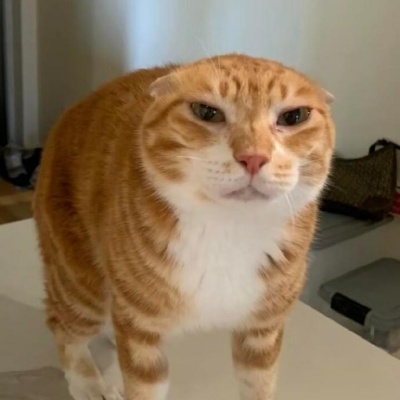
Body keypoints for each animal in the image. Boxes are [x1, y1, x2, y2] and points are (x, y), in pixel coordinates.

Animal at [33, 54, 335, 400]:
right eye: (207, 112)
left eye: (294, 116)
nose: (254, 157)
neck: (228, 231)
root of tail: (74, 108)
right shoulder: (141, 334)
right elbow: (144, 386)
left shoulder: (263, 331)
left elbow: (259, 385)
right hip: (80, 282)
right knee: (61, 323)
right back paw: (88, 384)